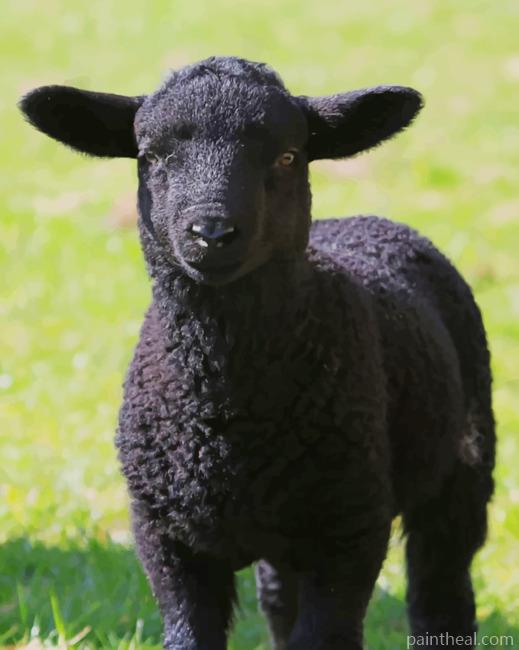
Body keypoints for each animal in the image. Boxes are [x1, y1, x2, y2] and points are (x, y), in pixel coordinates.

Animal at [20, 56, 495, 650]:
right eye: (151, 156)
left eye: (287, 156)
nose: (212, 232)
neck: (226, 409)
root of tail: (364, 221)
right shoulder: (166, 538)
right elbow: (191, 635)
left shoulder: (350, 531)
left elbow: (326, 635)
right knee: (280, 601)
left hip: (464, 462)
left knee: (441, 589)